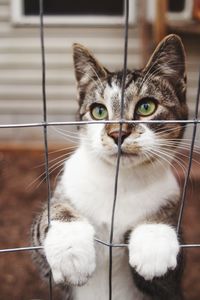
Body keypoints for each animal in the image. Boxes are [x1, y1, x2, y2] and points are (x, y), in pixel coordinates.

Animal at [31, 34, 188, 298]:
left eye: (146, 107)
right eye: (98, 111)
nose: (118, 133)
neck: (120, 183)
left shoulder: (170, 286)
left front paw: (154, 240)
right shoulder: (45, 269)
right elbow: (51, 213)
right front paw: (70, 248)